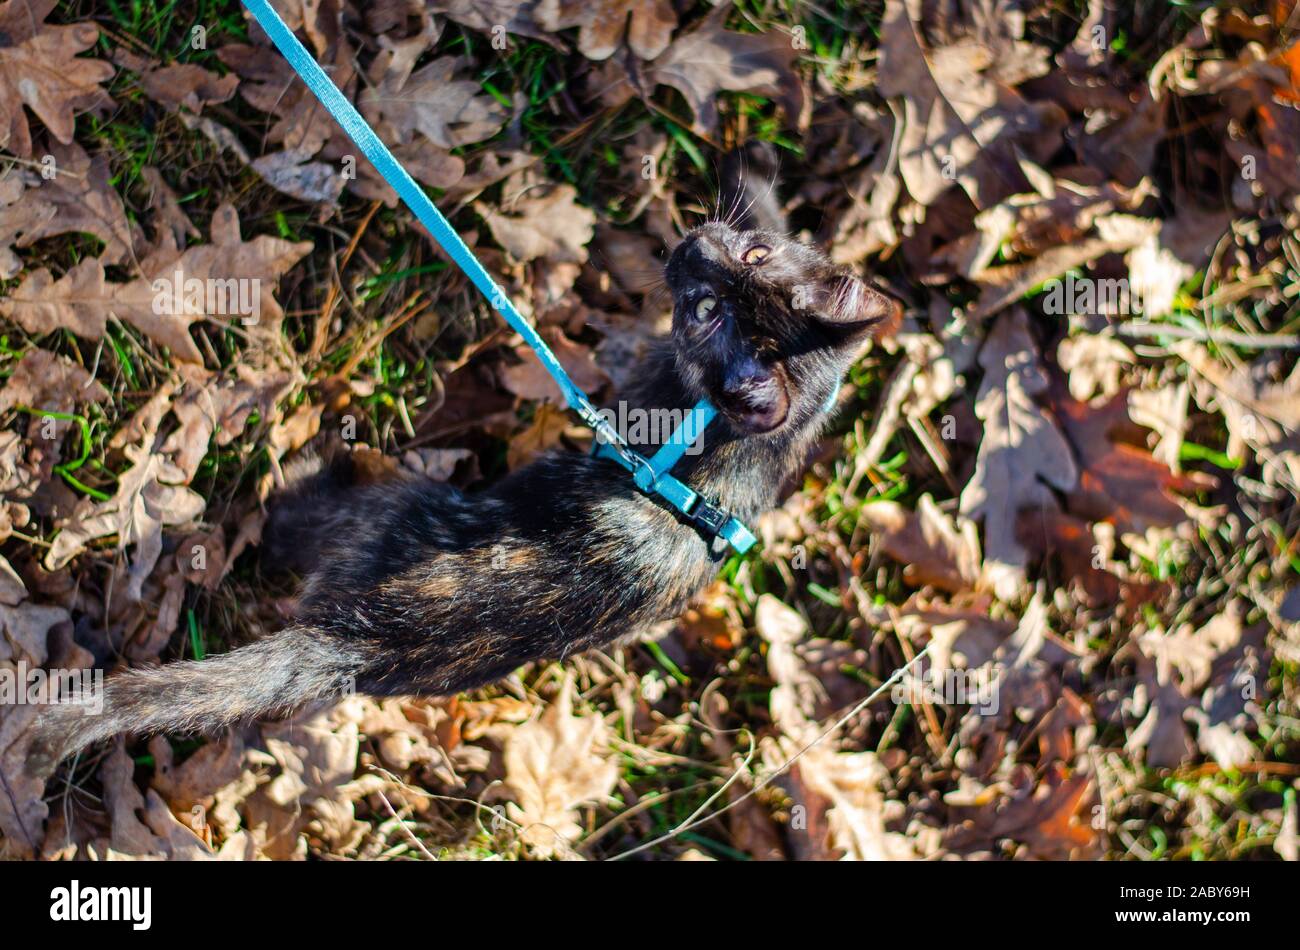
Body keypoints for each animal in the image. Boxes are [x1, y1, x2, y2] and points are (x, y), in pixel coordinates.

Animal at [30, 144, 904, 774]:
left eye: (703, 310)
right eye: (749, 256)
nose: (695, 247)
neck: (736, 440)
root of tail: (360, 638)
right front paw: (751, 167)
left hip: (372, 498)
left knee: (289, 514)